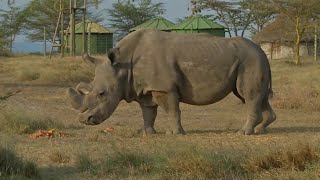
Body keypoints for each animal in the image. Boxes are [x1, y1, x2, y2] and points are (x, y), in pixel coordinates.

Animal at [67, 28, 276, 134]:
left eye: (102, 94)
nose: (84, 120)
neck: (123, 66)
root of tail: (261, 51)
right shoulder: (145, 88)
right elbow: (148, 112)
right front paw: (147, 133)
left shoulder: (164, 88)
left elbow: (172, 111)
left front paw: (175, 133)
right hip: (251, 60)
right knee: (257, 96)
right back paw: (260, 130)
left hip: (250, 60)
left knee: (249, 95)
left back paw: (243, 132)